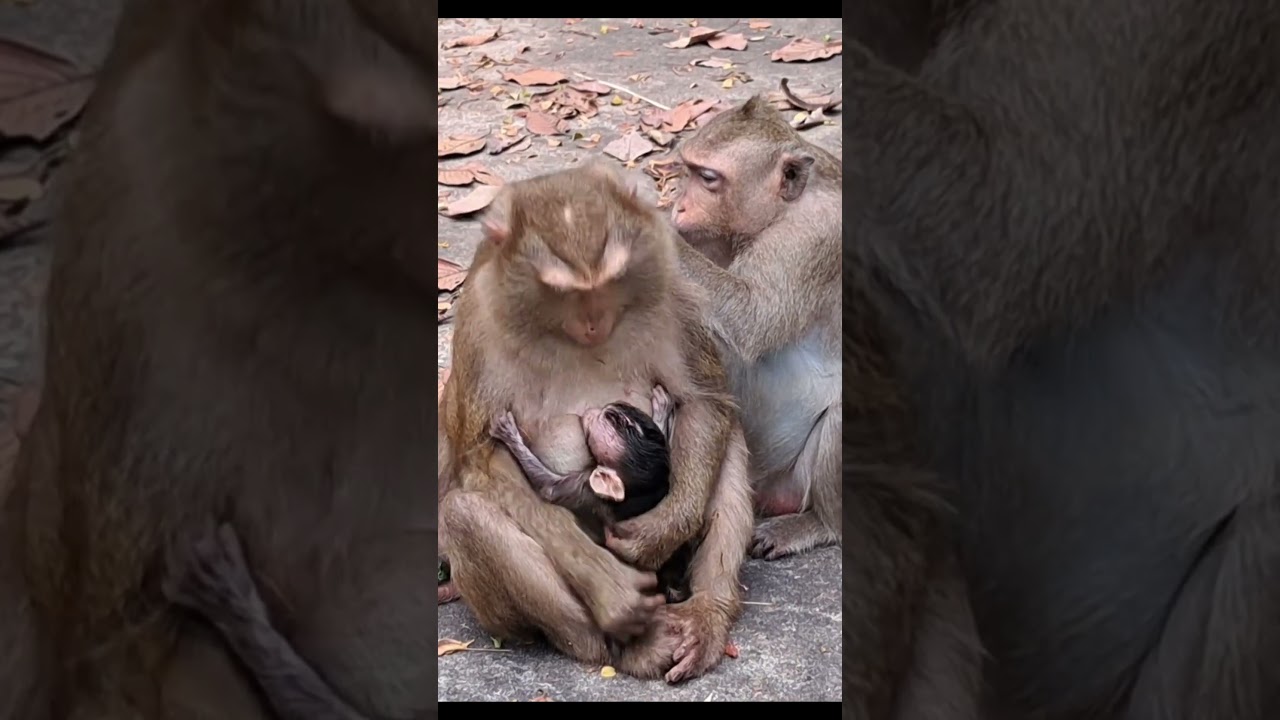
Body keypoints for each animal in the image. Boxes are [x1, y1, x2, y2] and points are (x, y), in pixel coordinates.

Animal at [489, 384, 694, 603]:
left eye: (614, 420)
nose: (608, 408)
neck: (637, 497)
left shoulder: (587, 488)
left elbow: (549, 488)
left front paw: (509, 434)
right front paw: (662, 411)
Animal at [668, 95, 842, 561]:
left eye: (708, 178)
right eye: (687, 171)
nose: (678, 206)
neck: (782, 211)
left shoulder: (812, 237)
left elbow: (752, 318)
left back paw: (819, 523)